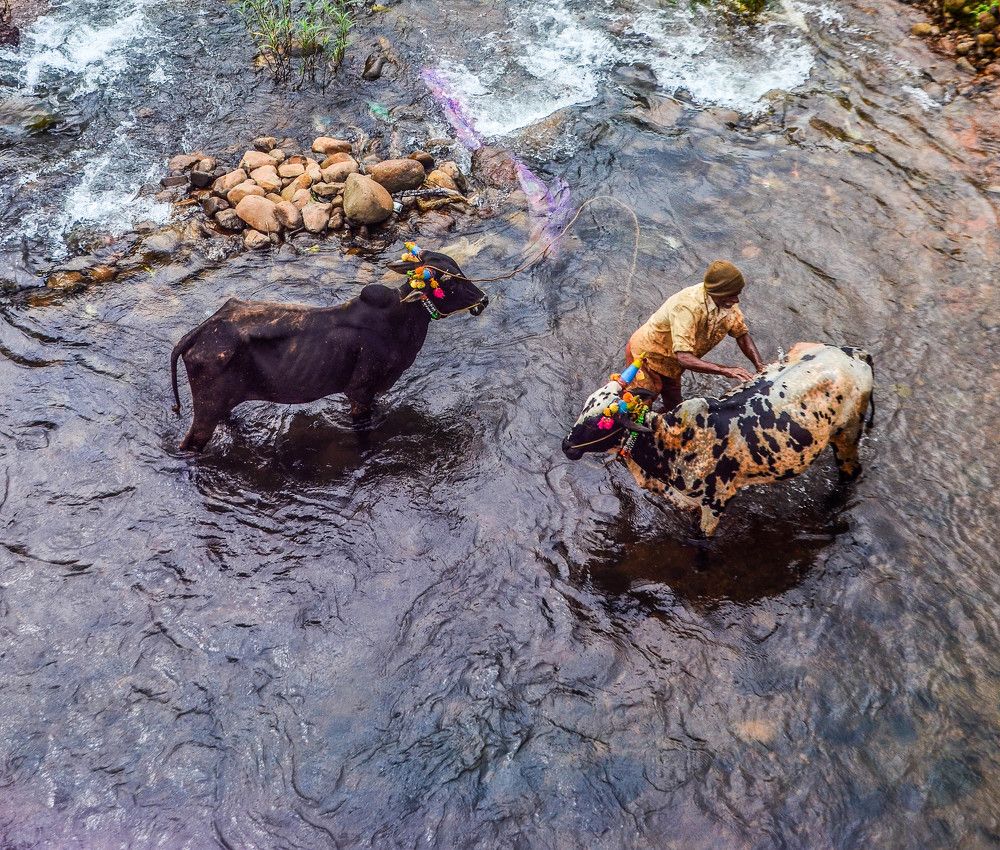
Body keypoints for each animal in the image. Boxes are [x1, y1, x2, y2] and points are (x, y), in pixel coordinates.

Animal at [170, 248, 488, 452]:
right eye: (447, 279)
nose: (483, 299)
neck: (402, 321)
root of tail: (199, 332)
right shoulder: (359, 390)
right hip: (207, 409)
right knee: (190, 443)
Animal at [561, 343, 874, 535]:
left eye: (596, 425)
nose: (566, 446)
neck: (671, 440)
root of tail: (856, 354)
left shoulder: (716, 504)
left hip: (847, 435)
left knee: (851, 473)